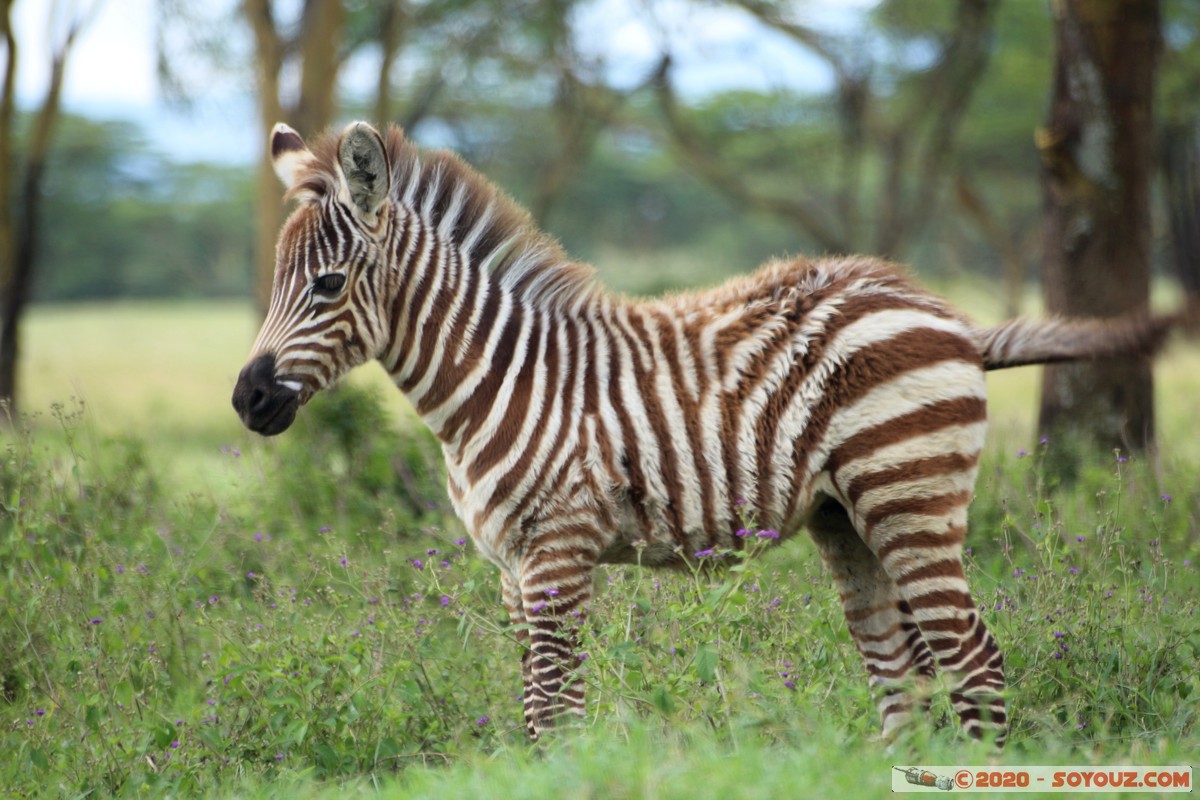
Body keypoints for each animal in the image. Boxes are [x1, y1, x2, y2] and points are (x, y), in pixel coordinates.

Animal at [233, 121, 1171, 744]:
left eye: (324, 284)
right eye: (276, 280)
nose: (248, 400)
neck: (498, 379)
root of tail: (952, 318)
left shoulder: (559, 552)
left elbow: (552, 714)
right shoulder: (509, 568)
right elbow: (536, 711)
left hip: (910, 496)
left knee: (974, 661)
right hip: (848, 519)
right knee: (903, 674)